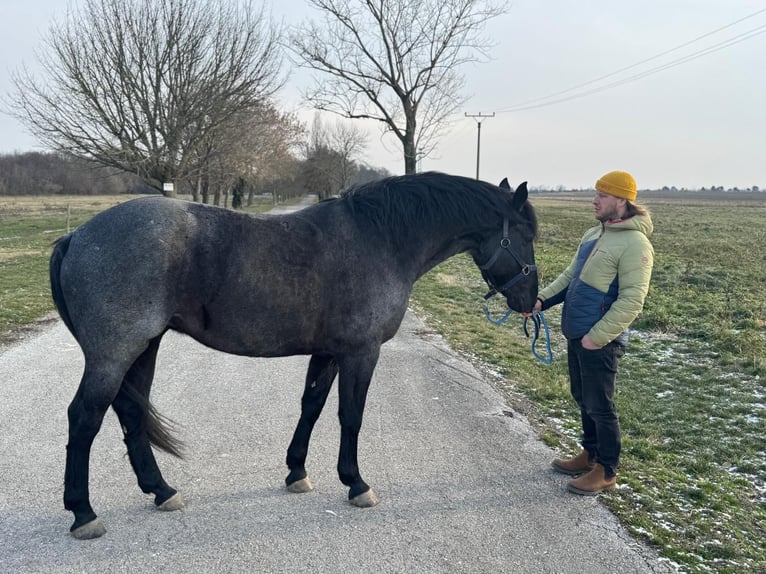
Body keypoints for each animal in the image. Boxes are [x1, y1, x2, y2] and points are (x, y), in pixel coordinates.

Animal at [49, 171, 538, 539]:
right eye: (525, 236)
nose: (530, 300)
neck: (380, 240)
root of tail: (77, 236)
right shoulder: (361, 353)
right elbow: (350, 416)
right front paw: (356, 483)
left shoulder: (328, 352)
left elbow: (312, 406)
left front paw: (297, 473)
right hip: (115, 353)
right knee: (84, 417)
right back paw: (84, 513)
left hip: (144, 348)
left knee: (130, 410)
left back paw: (162, 490)